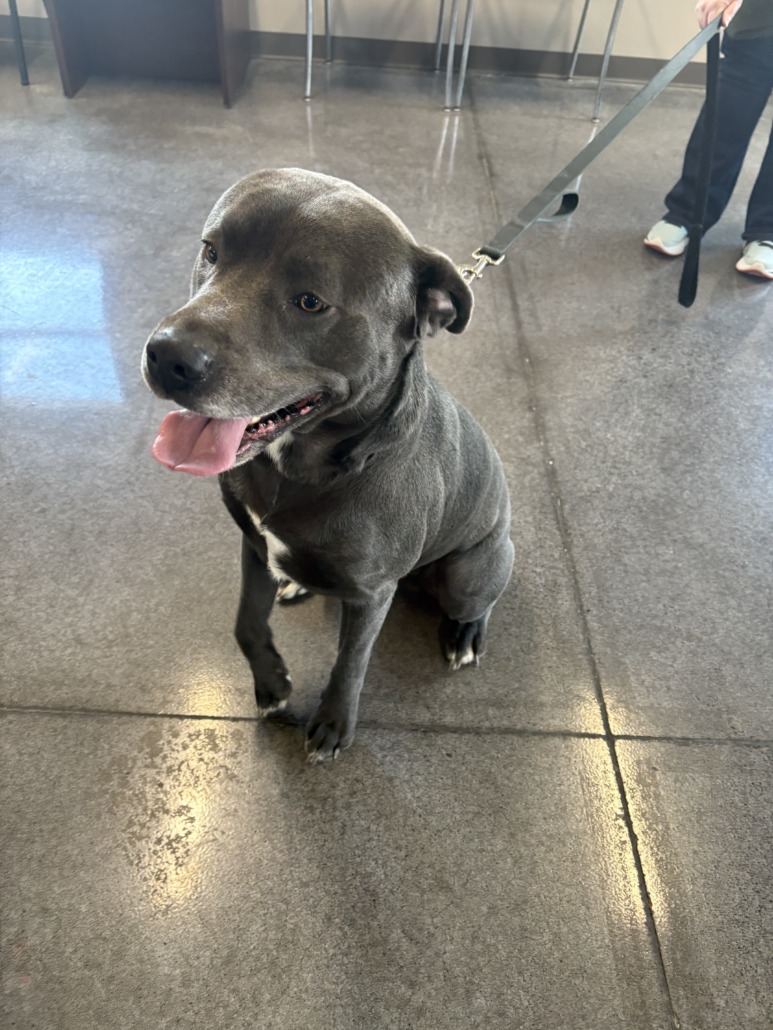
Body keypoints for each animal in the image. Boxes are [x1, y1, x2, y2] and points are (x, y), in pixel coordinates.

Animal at [142, 169, 513, 763]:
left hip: (470, 573)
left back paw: (464, 636)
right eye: (211, 251)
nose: (166, 357)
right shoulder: (254, 544)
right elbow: (245, 623)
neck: (302, 468)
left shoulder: (372, 594)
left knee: (478, 600)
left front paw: (334, 722)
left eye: (310, 302)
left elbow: (351, 662)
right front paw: (271, 685)